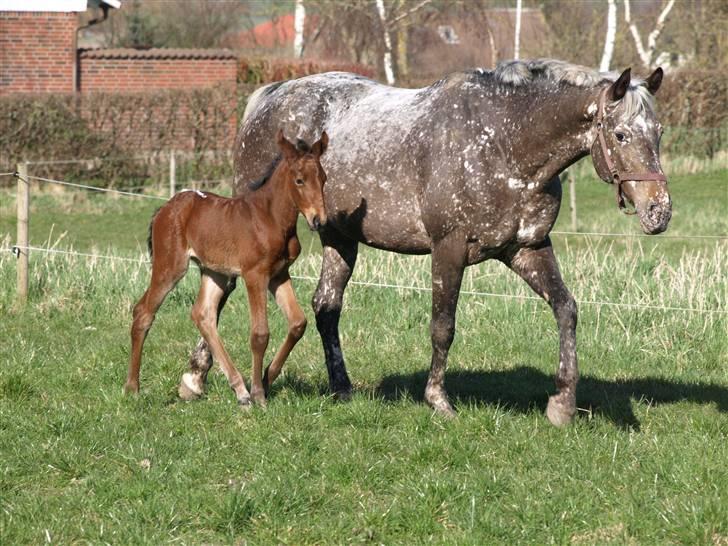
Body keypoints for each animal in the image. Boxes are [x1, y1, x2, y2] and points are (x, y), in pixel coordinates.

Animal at [126, 130, 328, 406]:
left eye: (324, 179)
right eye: (299, 180)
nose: (319, 220)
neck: (270, 218)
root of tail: (165, 209)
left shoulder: (279, 274)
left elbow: (298, 323)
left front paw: (266, 379)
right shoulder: (255, 275)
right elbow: (259, 334)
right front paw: (259, 395)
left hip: (215, 272)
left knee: (202, 314)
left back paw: (239, 390)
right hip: (170, 266)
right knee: (144, 312)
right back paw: (132, 388)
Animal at [183, 58, 672, 424]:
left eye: (660, 132)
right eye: (621, 134)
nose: (659, 212)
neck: (504, 142)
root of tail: (270, 96)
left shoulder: (527, 249)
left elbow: (566, 310)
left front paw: (562, 404)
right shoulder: (448, 248)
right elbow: (443, 326)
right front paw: (438, 401)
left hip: (341, 239)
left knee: (326, 307)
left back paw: (340, 388)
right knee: (223, 291)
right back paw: (201, 380)